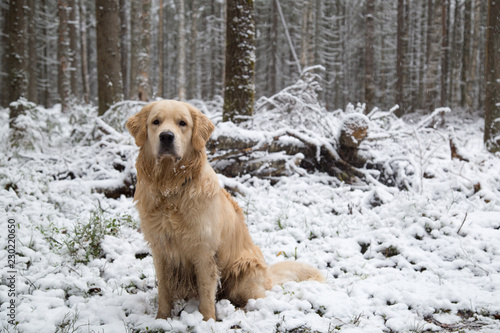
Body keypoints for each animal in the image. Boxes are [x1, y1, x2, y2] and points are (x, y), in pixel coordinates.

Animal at [126, 99, 324, 320]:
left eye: (182, 123)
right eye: (156, 122)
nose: (166, 136)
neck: (171, 188)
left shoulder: (204, 252)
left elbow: (206, 294)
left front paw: (207, 321)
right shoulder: (160, 249)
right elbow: (164, 291)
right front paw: (162, 319)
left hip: (244, 270)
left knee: (257, 300)